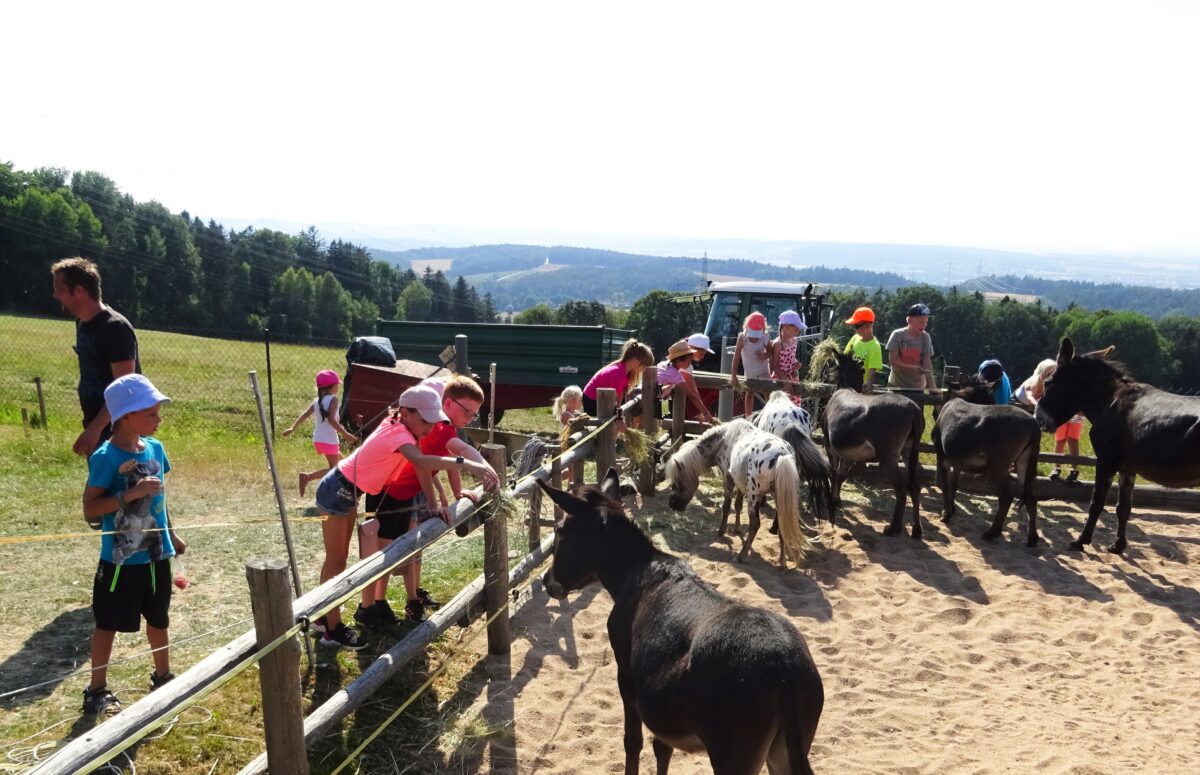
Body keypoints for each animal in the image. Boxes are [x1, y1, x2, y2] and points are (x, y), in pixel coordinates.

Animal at [539, 470, 824, 775]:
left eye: (559, 531)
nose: (546, 581)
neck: (638, 569)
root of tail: (784, 670)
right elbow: (662, 748)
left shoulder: (626, 674)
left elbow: (633, 742)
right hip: (785, 749)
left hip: (733, 755)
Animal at [665, 419, 818, 568]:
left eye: (677, 481)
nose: (672, 505)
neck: (723, 439)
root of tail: (782, 455)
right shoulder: (739, 482)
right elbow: (738, 505)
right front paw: (737, 529)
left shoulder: (728, 478)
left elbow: (727, 506)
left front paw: (721, 531)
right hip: (781, 498)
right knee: (782, 526)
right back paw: (782, 561)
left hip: (754, 497)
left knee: (755, 525)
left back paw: (742, 556)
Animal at [817, 344, 926, 538]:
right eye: (862, 371)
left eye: (829, 369)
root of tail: (914, 409)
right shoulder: (846, 453)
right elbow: (841, 475)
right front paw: (837, 501)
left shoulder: (829, 446)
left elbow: (833, 473)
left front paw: (831, 503)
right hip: (910, 450)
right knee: (915, 487)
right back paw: (916, 530)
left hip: (887, 455)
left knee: (901, 488)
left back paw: (893, 529)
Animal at [933, 373, 1042, 546]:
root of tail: (1033, 424)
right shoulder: (958, 462)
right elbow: (954, 484)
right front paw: (952, 509)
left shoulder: (942, 457)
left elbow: (945, 485)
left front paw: (946, 514)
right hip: (1023, 463)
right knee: (1031, 500)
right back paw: (1032, 539)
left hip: (999, 467)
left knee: (1006, 497)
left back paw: (992, 532)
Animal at [1035, 337, 1200, 553]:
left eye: (1048, 382)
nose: (1038, 418)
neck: (1111, 400)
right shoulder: (1127, 468)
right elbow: (1123, 508)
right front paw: (1118, 545)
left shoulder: (1106, 461)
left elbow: (1096, 503)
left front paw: (1081, 541)